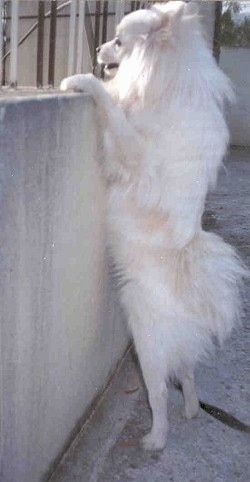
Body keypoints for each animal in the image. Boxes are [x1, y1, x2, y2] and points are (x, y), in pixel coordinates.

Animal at [61, 1, 246, 450]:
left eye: (118, 42)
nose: (97, 51)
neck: (168, 81)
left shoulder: (135, 153)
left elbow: (110, 108)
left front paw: (81, 80)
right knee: (188, 374)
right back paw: (193, 410)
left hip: (144, 341)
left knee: (159, 390)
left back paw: (156, 438)